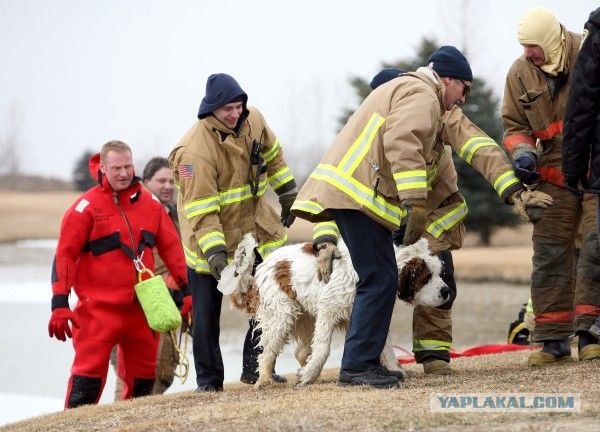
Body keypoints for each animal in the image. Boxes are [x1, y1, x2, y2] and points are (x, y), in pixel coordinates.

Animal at [217, 235, 450, 390]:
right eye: (426, 277)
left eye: (439, 272)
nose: (447, 291)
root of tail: (263, 265)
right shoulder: (329, 310)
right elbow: (323, 348)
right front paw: (309, 374)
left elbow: (385, 346)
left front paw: (396, 369)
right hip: (282, 317)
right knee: (267, 353)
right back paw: (265, 379)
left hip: (305, 317)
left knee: (300, 352)